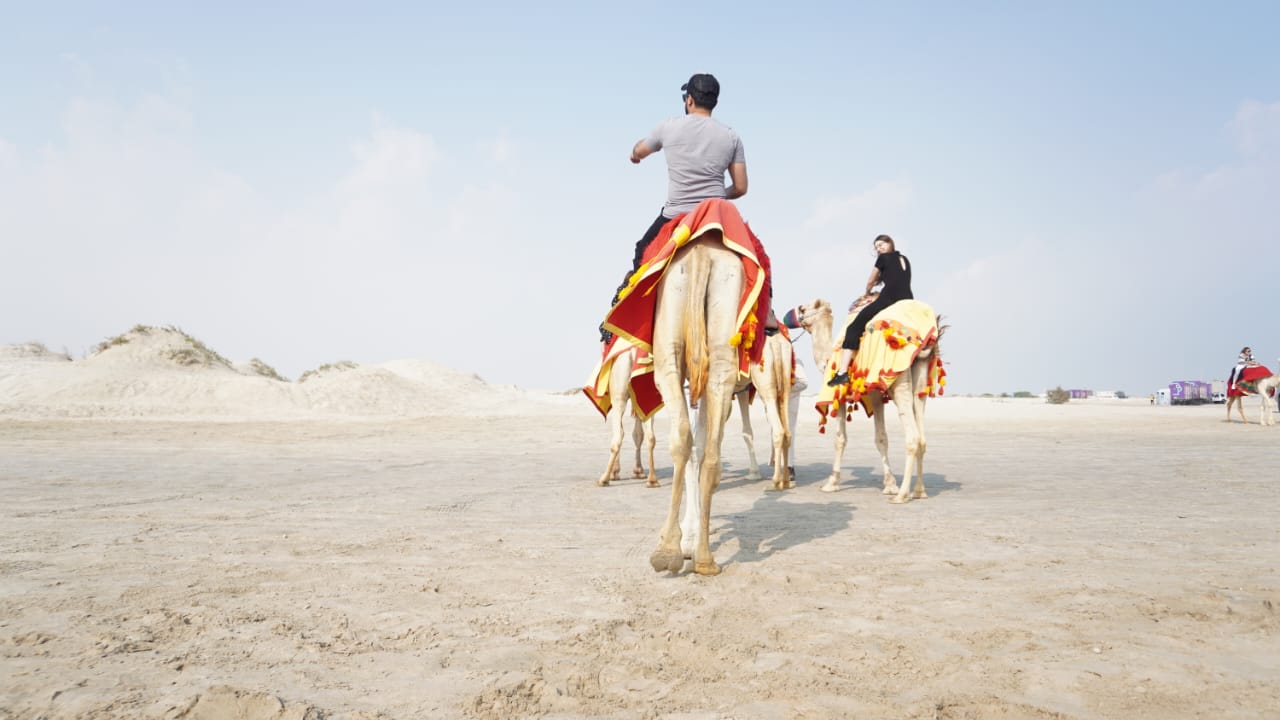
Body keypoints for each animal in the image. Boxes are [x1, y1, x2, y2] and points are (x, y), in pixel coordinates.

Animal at [596, 343, 655, 486]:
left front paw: (615, 472)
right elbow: (638, 434)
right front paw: (638, 471)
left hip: (619, 394)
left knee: (618, 436)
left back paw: (605, 478)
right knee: (650, 436)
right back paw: (652, 480)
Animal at [793, 294, 947, 502]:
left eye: (803, 309)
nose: (794, 314)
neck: (828, 358)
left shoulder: (841, 395)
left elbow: (840, 438)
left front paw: (831, 483)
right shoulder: (875, 395)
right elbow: (881, 438)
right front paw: (890, 484)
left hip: (900, 382)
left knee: (913, 438)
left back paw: (902, 496)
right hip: (921, 382)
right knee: (922, 436)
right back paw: (919, 491)